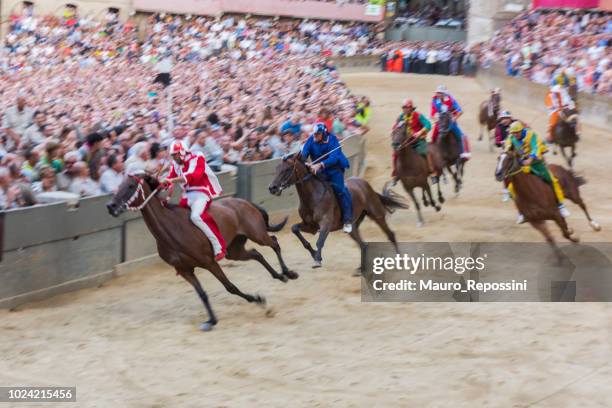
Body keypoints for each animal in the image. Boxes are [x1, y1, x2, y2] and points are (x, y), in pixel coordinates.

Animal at [107, 174, 298, 330]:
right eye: (119, 184)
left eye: (130, 185)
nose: (111, 205)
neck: (173, 228)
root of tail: (245, 202)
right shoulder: (185, 270)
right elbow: (202, 294)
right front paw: (211, 320)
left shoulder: (209, 262)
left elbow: (230, 287)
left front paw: (257, 299)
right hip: (234, 250)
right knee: (256, 253)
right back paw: (279, 276)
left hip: (257, 234)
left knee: (274, 243)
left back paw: (288, 273)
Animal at [268, 155, 406, 270]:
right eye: (276, 169)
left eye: (287, 169)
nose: (272, 188)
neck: (313, 196)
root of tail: (366, 184)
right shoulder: (310, 226)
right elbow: (295, 229)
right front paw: (314, 254)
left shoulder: (326, 224)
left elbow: (320, 241)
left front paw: (317, 259)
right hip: (353, 227)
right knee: (363, 244)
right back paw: (360, 269)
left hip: (377, 215)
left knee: (390, 234)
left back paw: (399, 261)